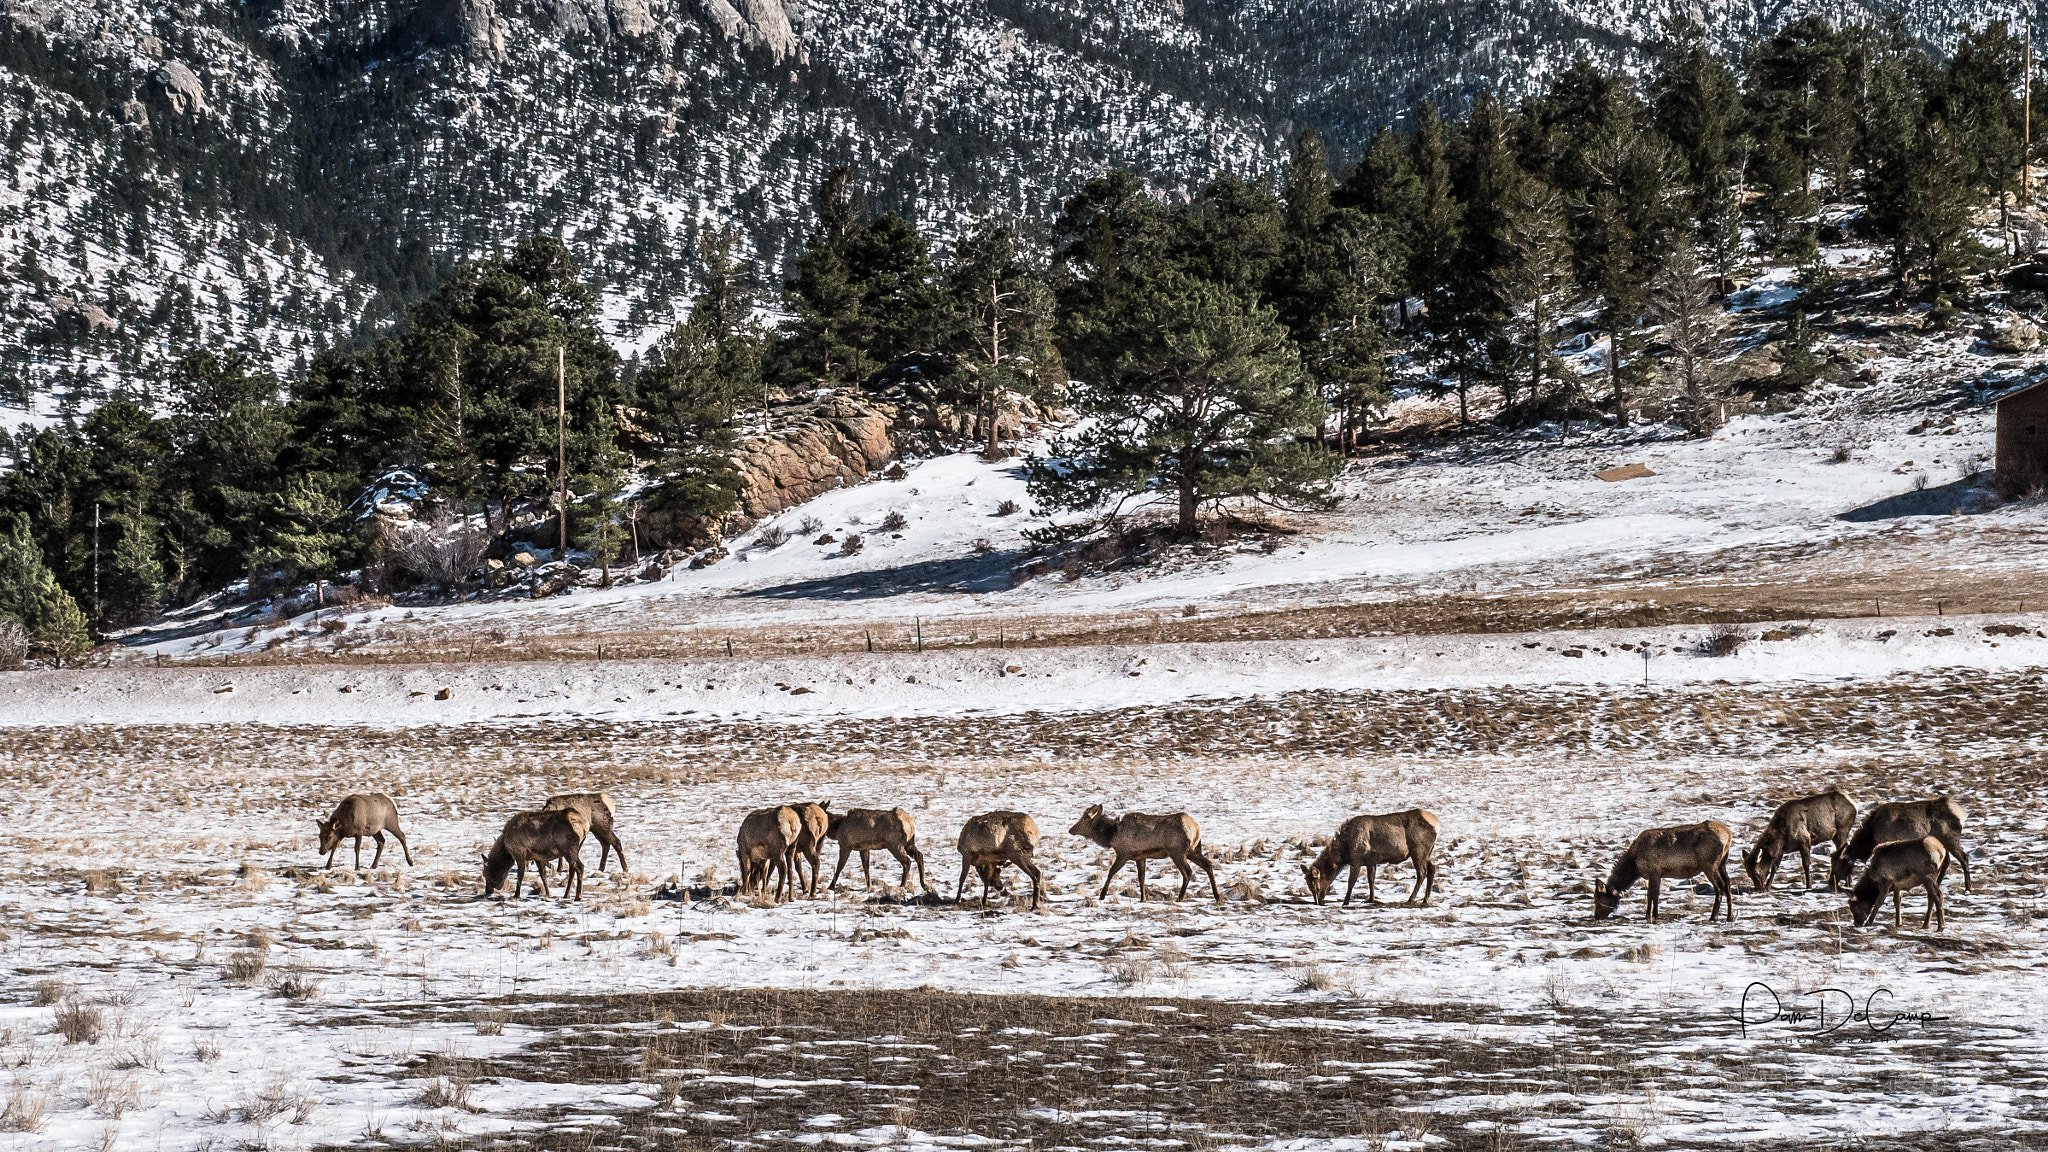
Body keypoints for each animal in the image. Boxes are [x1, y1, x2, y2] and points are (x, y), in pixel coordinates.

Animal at [1073, 803, 1212, 901]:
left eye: (1084, 819)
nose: (1071, 829)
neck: (1111, 835)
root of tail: (1197, 828)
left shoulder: (1124, 853)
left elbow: (1111, 872)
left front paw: (1102, 896)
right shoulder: (1140, 856)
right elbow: (1141, 877)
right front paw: (1142, 898)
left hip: (1178, 852)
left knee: (1188, 872)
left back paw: (1180, 898)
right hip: (1193, 850)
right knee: (1208, 864)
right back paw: (1216, 896)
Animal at [1294, 811, 1441, 901]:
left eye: (1317, 886)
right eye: (1308, 886)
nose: (1318, 902)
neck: (1345, 851)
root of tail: (1437, 823)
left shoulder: (1358, 860)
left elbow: (1351, 882)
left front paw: (1345, 902)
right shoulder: (1371, 861)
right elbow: (1371, 879)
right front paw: (1371, 899)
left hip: (1419, 850)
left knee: (1422, 873)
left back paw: (1411, 899)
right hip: (1428, 852)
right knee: (1432, 869)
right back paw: (1425, 900)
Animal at [1589, 819, 1736, 918]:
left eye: (1599, 898)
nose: (1596, 916)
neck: (1634, 865)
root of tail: (1729, 835)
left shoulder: (1654, 871)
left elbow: (1652, 894)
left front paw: (1650, 915)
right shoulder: (1657, 874)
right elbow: (1654, 894)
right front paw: (1652, 914)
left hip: (1709, 864)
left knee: (1719, 885)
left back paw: (1713, 917)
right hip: (1722, 862)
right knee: (1728, 882)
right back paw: (1730, 916)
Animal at [1736, 787, 1867, 889]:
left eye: (1757, 872)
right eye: (1749, 874)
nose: (1759, 889)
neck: (1781, 836)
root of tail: (1854, 805)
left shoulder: (1805, 840)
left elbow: (1806, 864)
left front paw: (1808, 886)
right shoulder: (1783, 849)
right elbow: (1775, 866)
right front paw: (1768, 886)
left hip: (1842, 831)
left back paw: (1848, 883)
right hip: (1835, 835)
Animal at [1826, 795, 1966, 893]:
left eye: (1838, 864)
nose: (1830, 882)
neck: (1871, 836)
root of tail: (1962, 814)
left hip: (1950, 839)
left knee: (1963, 858)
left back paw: (1967, 889)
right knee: (1947, 861)